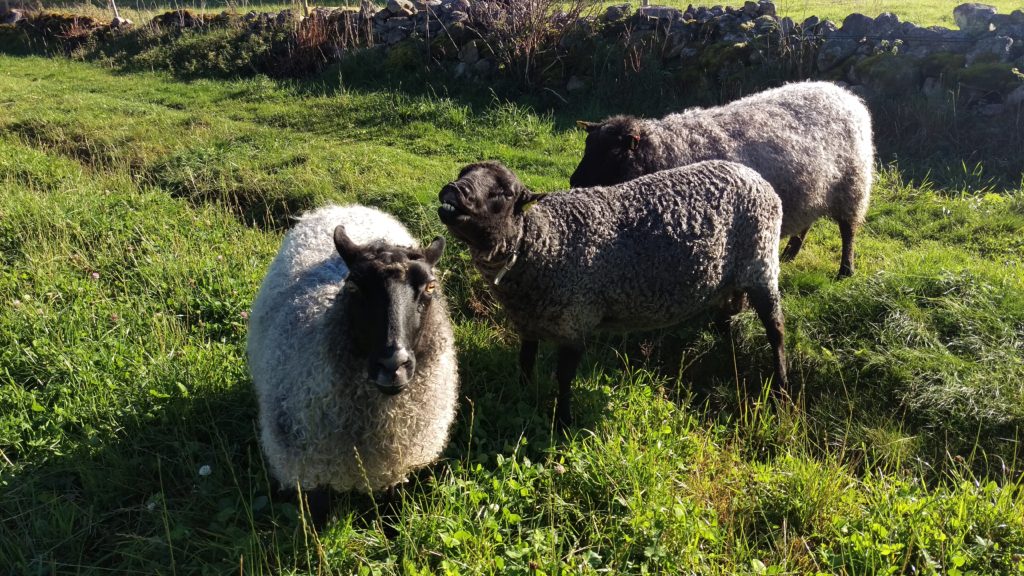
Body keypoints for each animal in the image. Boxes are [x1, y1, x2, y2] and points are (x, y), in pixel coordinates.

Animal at [245, 202, 458, 520]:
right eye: (355, 286)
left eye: (430, 287)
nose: (392, 365)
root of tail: (346, 206)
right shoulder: (310, 469)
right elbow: (318, 517)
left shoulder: (397, 463)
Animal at [438, 158, 782, 424]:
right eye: (464, 171)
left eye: (505, 192)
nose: (453, 191)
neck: (541, 241)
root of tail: (756, 177)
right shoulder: (528, 322)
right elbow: (525, 363)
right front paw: (522, 396)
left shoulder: (575, 321)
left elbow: (563, 378)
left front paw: (563, 421)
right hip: (728, 280)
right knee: (726, 319)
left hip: (762, 264)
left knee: (776, 331)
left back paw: (781, 389)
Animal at [569, 81, 872, 278]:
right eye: (587, 147)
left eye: (612, 155)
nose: (574, 182)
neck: (665, 152)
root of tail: (842, 93)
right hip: (814, 186)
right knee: (807, 221)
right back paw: (789, 254)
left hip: (851, 184)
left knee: (848, 230)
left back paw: (846, 270)